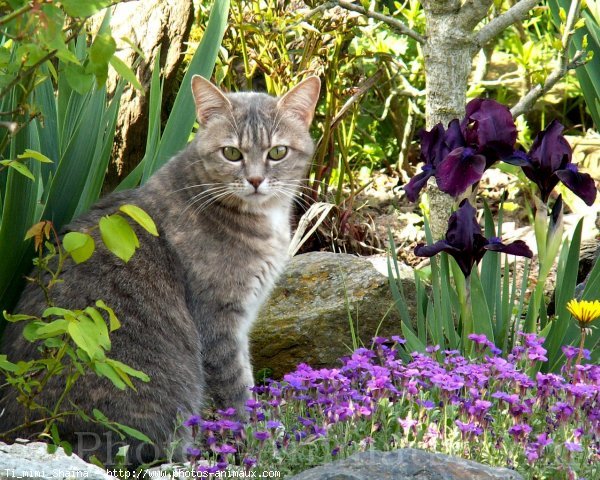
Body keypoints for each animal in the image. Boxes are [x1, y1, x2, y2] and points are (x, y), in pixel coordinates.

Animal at [0, 75, 322, 464]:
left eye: (278, 152)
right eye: (232, 153)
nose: (256, 180)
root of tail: (28, 432)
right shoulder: (219, 325)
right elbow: (238, 393)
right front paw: (260, 444)